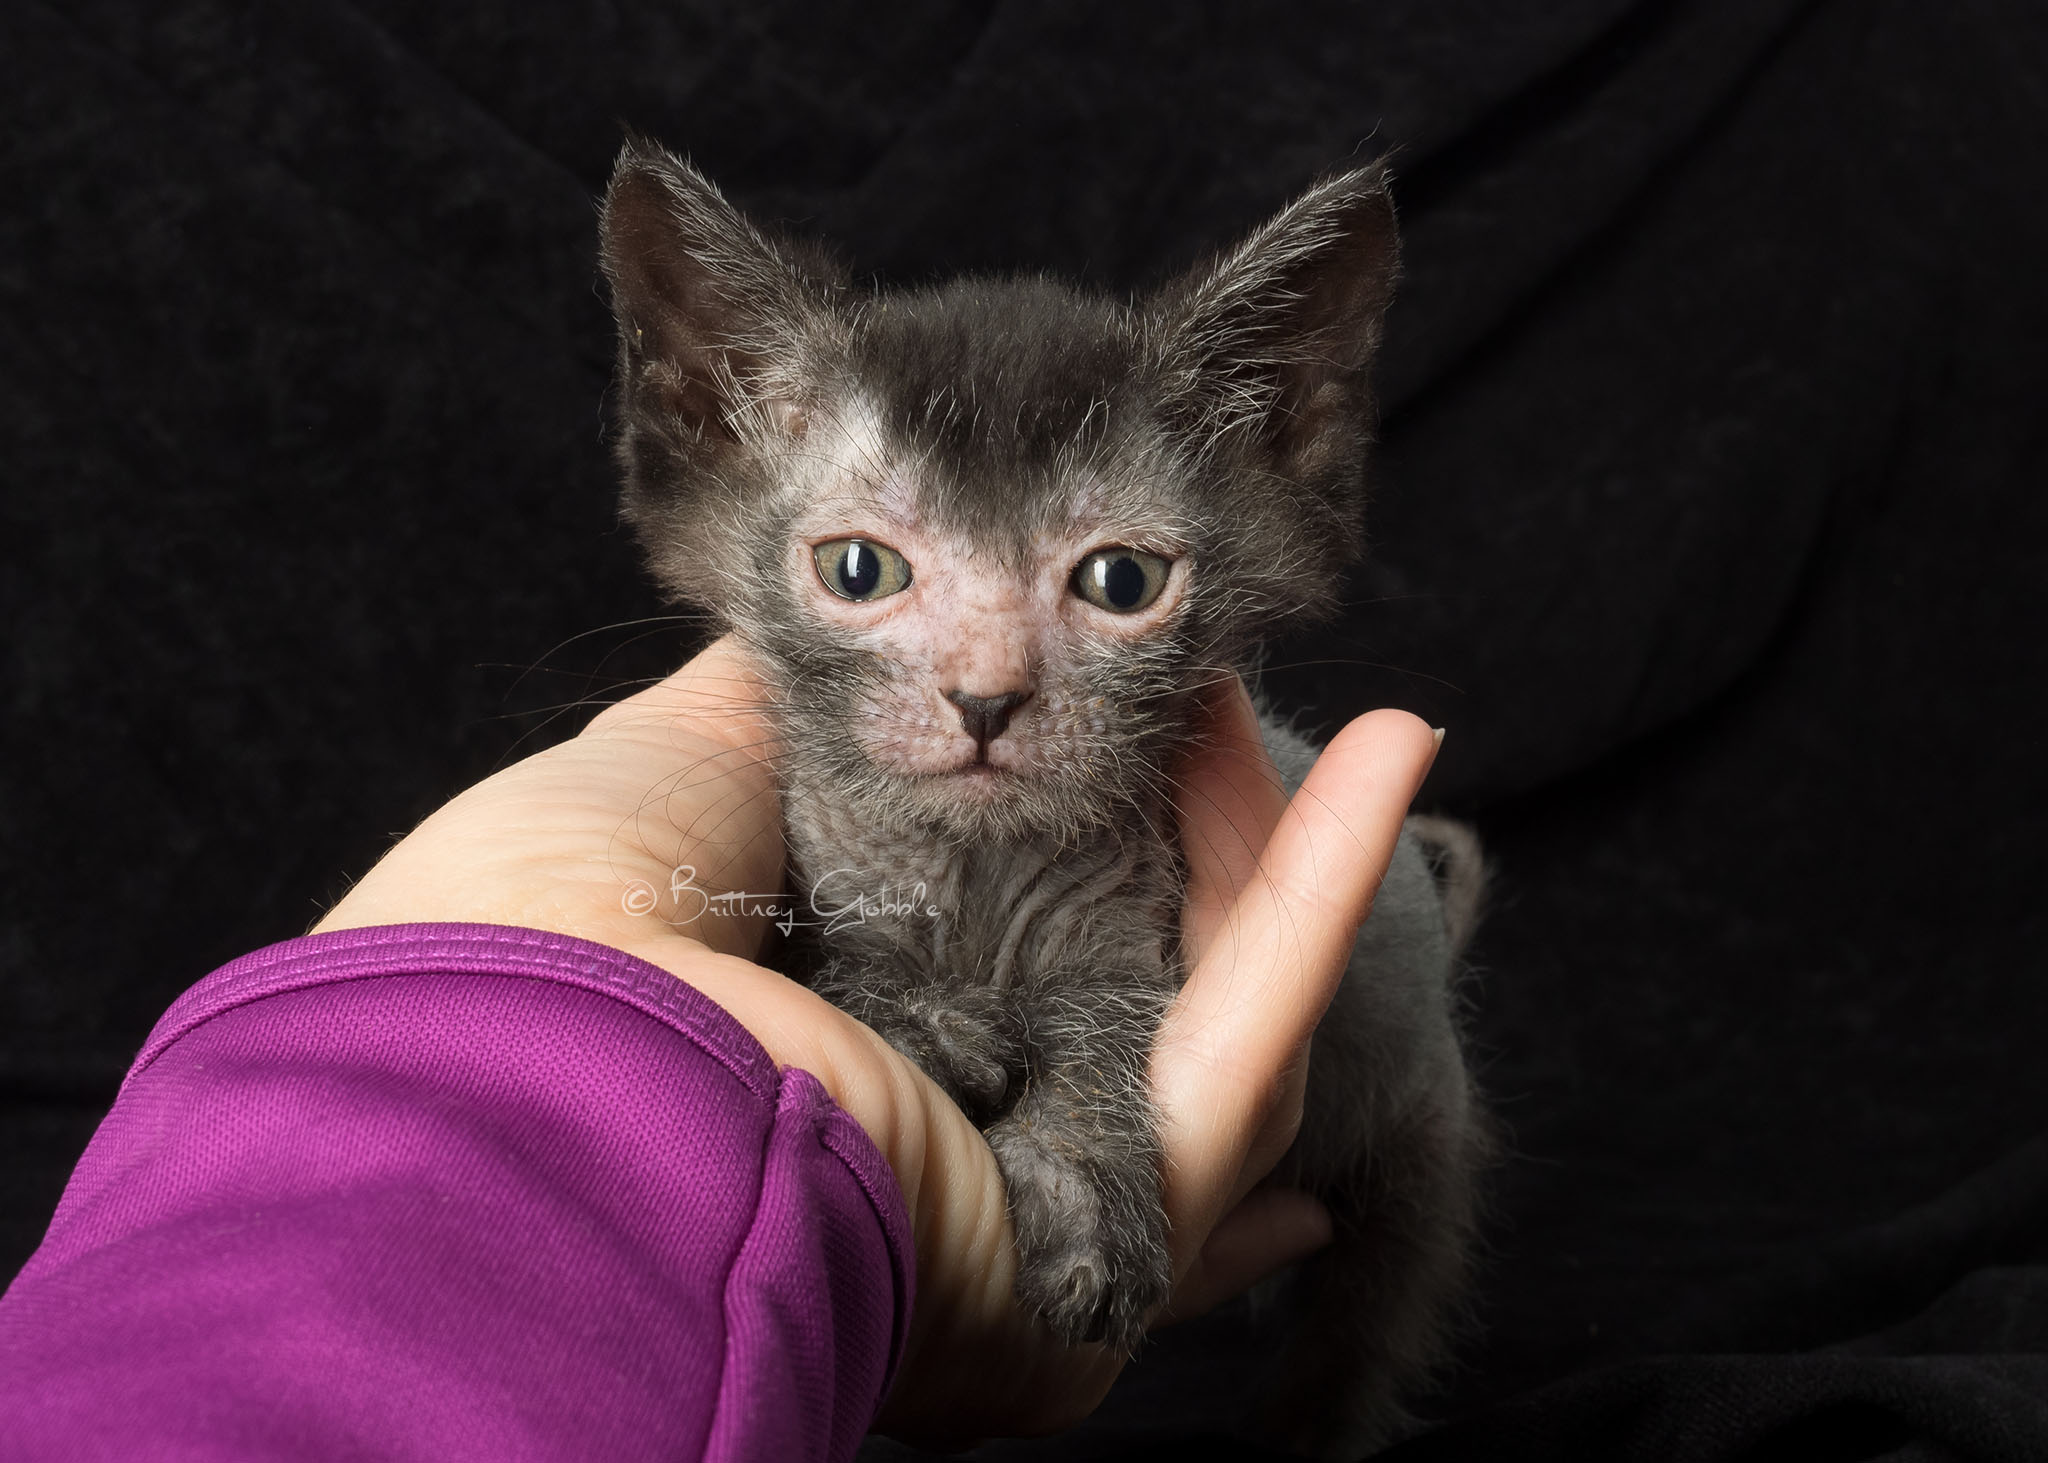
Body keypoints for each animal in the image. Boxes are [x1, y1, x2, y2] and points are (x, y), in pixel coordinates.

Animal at [598, 139, 1490, 1450]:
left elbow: (1102, 1014)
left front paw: (1079, 1178)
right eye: (857, 569)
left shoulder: (1130, 926)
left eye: (1119, 581)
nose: (986, 698)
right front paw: (924, 1024)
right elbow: (827, 970)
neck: (974, 878)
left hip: (1419, 1146)